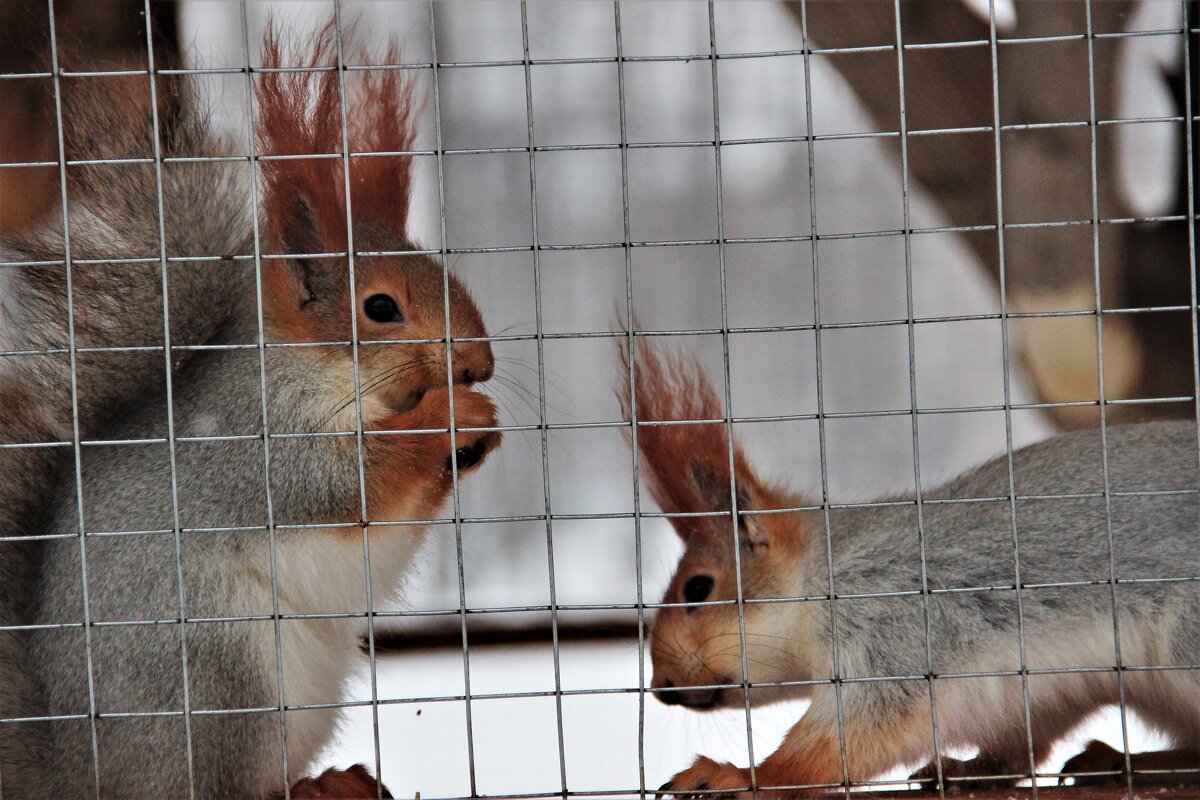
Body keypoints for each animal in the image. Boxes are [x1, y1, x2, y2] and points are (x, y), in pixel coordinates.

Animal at [7, 18, 499, 800]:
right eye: (380, 308)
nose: (479, 362)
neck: (326, 368)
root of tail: (84, 768)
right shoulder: (259, 435)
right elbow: (340, 481)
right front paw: (453, 415)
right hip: (217, 669)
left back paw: (334, 782)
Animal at [619, 338, 1200, 796]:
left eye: (698, 588)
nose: (662, 687)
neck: (820, 582)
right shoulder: (1026, 692)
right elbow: (1019, 746)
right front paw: (970, 771)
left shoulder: (894, 630)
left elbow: (851, 735)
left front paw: (741, 776)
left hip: (1185, 644)